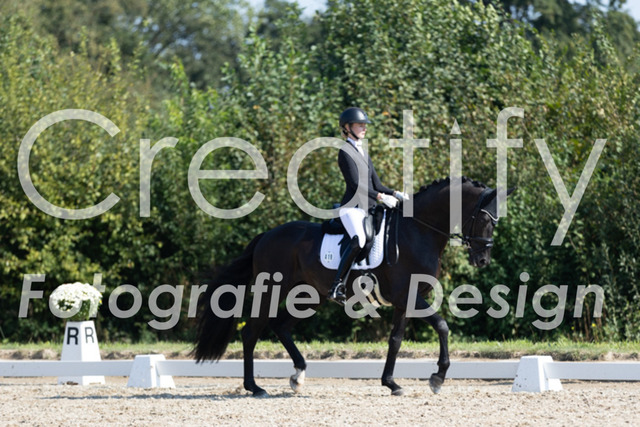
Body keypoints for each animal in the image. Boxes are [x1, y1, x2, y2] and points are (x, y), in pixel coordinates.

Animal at [194, 177, 514, 396]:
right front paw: (437, 378)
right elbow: (442, 325)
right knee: (251, 332)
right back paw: (254, 387)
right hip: (272, 289)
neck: (418, 231)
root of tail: (267, 235)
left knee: (280, 326)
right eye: (483, 219)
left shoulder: (403, 301)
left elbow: (395, 340)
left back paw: (298, 376)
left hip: (310, 296)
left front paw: (391, 383)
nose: (482, 260)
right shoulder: (408, 295)